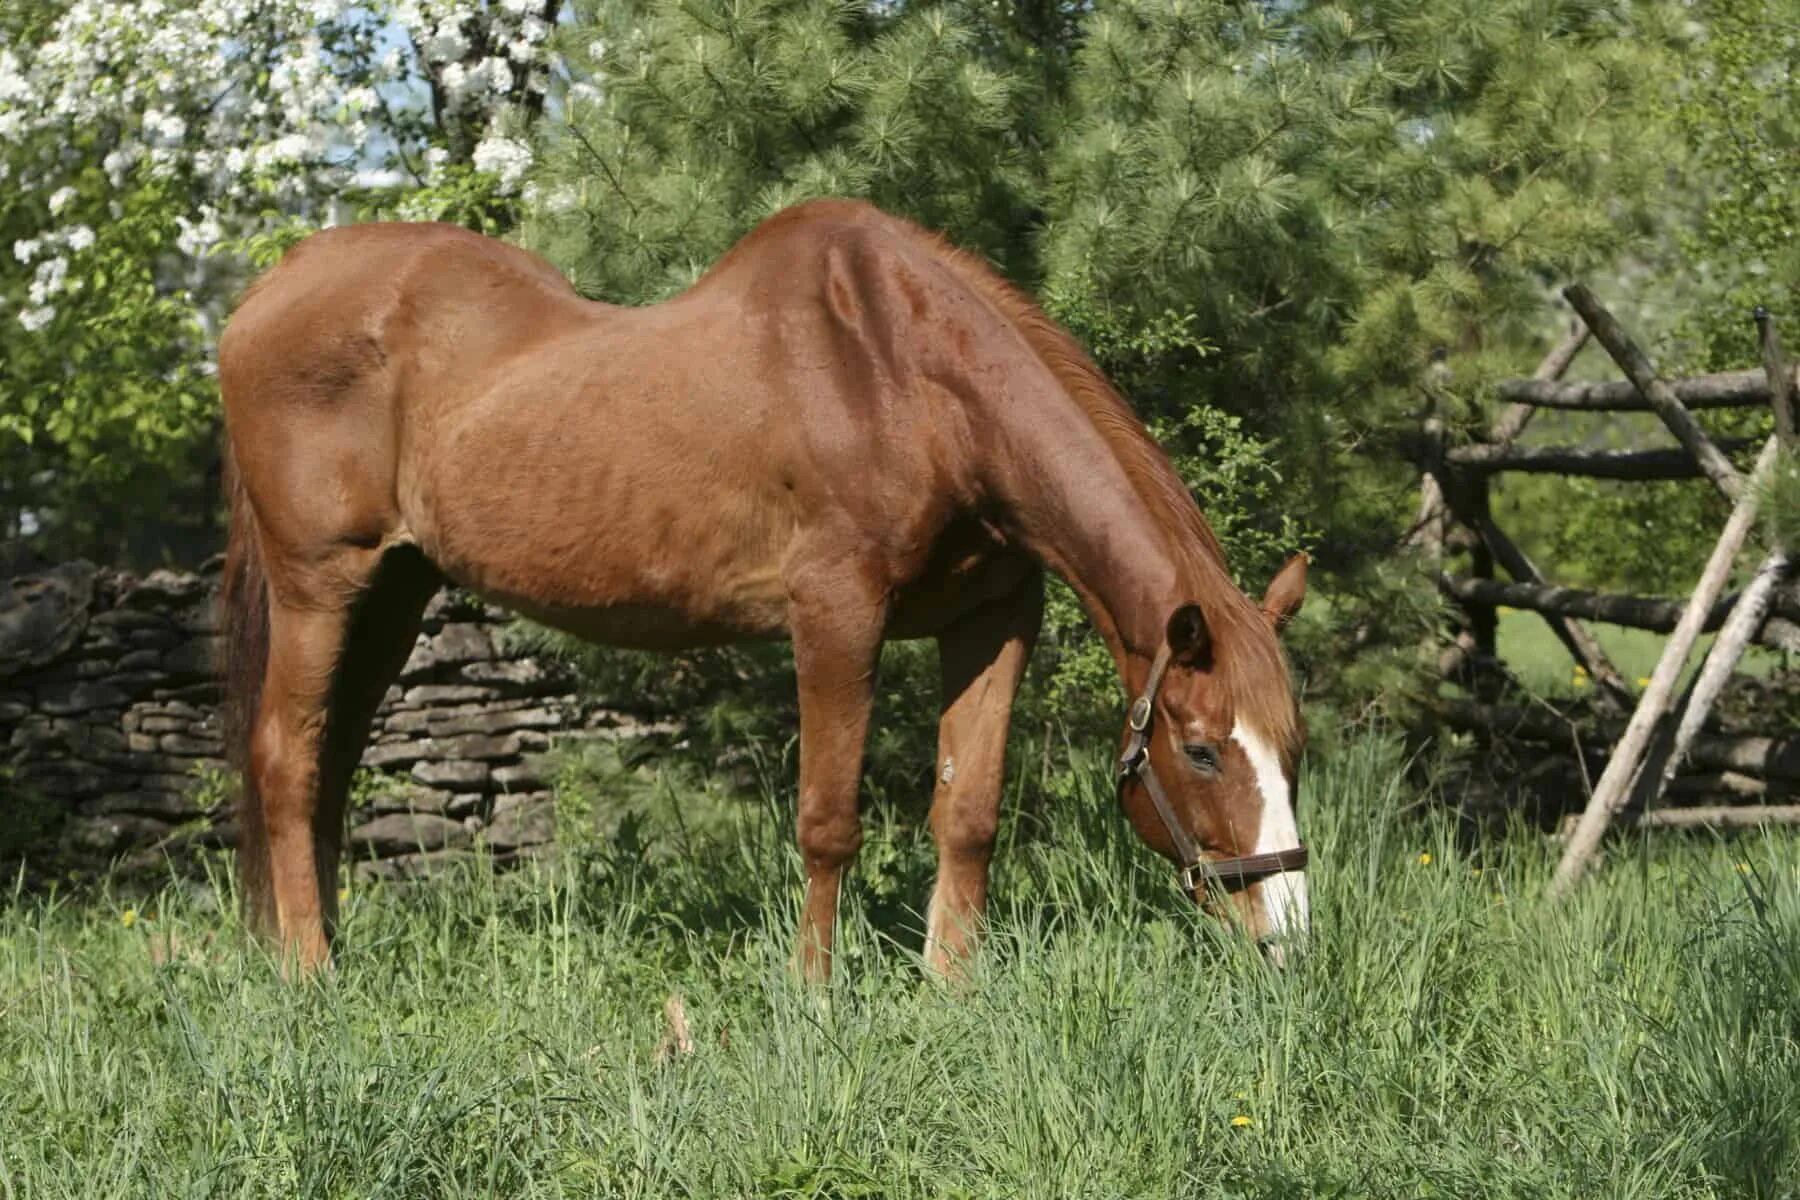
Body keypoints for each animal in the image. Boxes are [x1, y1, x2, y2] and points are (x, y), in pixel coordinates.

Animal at [217, 199, 1310, 985]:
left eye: (1294, 748)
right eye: (1203, 751)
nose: (1290, 938)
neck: (908, 379)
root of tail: (264, 298)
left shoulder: (994, 620)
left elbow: (969, 812)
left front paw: (952, 990)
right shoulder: (835, 614)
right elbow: (827, 822)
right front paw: (814, 1000)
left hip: (396, 592)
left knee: (331, 763)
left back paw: (325, 953)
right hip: (321, 583)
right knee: (287, 759)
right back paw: (310, 976)